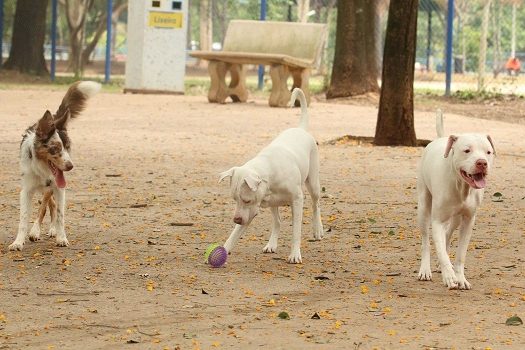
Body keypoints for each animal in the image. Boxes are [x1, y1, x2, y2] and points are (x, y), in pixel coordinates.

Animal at [8, 81, 100, 252]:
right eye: (55, 149)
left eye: (68, 147)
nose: (70, 166)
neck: (42, 169)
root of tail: (54, 119)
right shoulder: (26, 190)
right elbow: (23, 218)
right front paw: (18, 242)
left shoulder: (59, 188)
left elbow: (59, 214)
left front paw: (61, 237)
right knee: (47, 204)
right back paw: (37, 231)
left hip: (51, 187)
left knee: (48, 205)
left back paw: (47, 230)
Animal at [218, 87, 324, 262]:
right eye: (234, 200)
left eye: (246, 200)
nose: (236, 219)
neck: (269, 172)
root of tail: (300, 129)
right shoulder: (251, 211)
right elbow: (234, 234)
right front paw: (224, 249)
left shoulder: (297, 200)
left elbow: (296, 231)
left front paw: (295, 254)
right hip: (273, 204)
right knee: (277, 221)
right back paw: (271, 244)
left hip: (313, 183)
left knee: (316, 205)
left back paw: (318, 230)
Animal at [418, 109, 496, 290]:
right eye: (467, 151)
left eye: (488, 152)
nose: (482, 163)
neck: (461, 186)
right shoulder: (437, 221)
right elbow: (440, 250)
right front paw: (448, 276)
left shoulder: (468, 221)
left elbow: (460, 254)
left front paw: (460, 277)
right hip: (424, 206)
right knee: (426, 240)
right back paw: (425, 269)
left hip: (456, 218)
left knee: (447, 233)